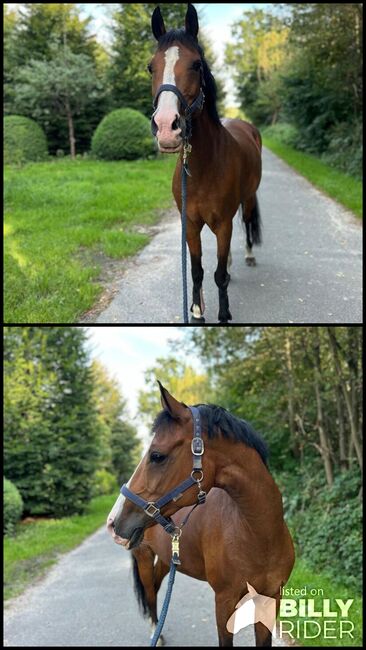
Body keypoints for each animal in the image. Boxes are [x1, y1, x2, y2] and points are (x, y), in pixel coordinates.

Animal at [106, 382, 294, 640]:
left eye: (157, 455)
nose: (112, 522)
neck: (259, 535)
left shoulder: (270, 599)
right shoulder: (224, 602)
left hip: (165, 559)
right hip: (143, 557)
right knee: (150, 591)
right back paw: (156, 631)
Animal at [149, 2, 264, 322]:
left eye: (196, 65)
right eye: (151, 67)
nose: (166, 128)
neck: (202, 168)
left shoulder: (222, 223)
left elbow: (218, 275)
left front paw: (223, 314)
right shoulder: (189, 224)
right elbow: (198, 270)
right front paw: (197, 310)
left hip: (249, 197)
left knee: (246, 223)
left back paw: (248, 256)